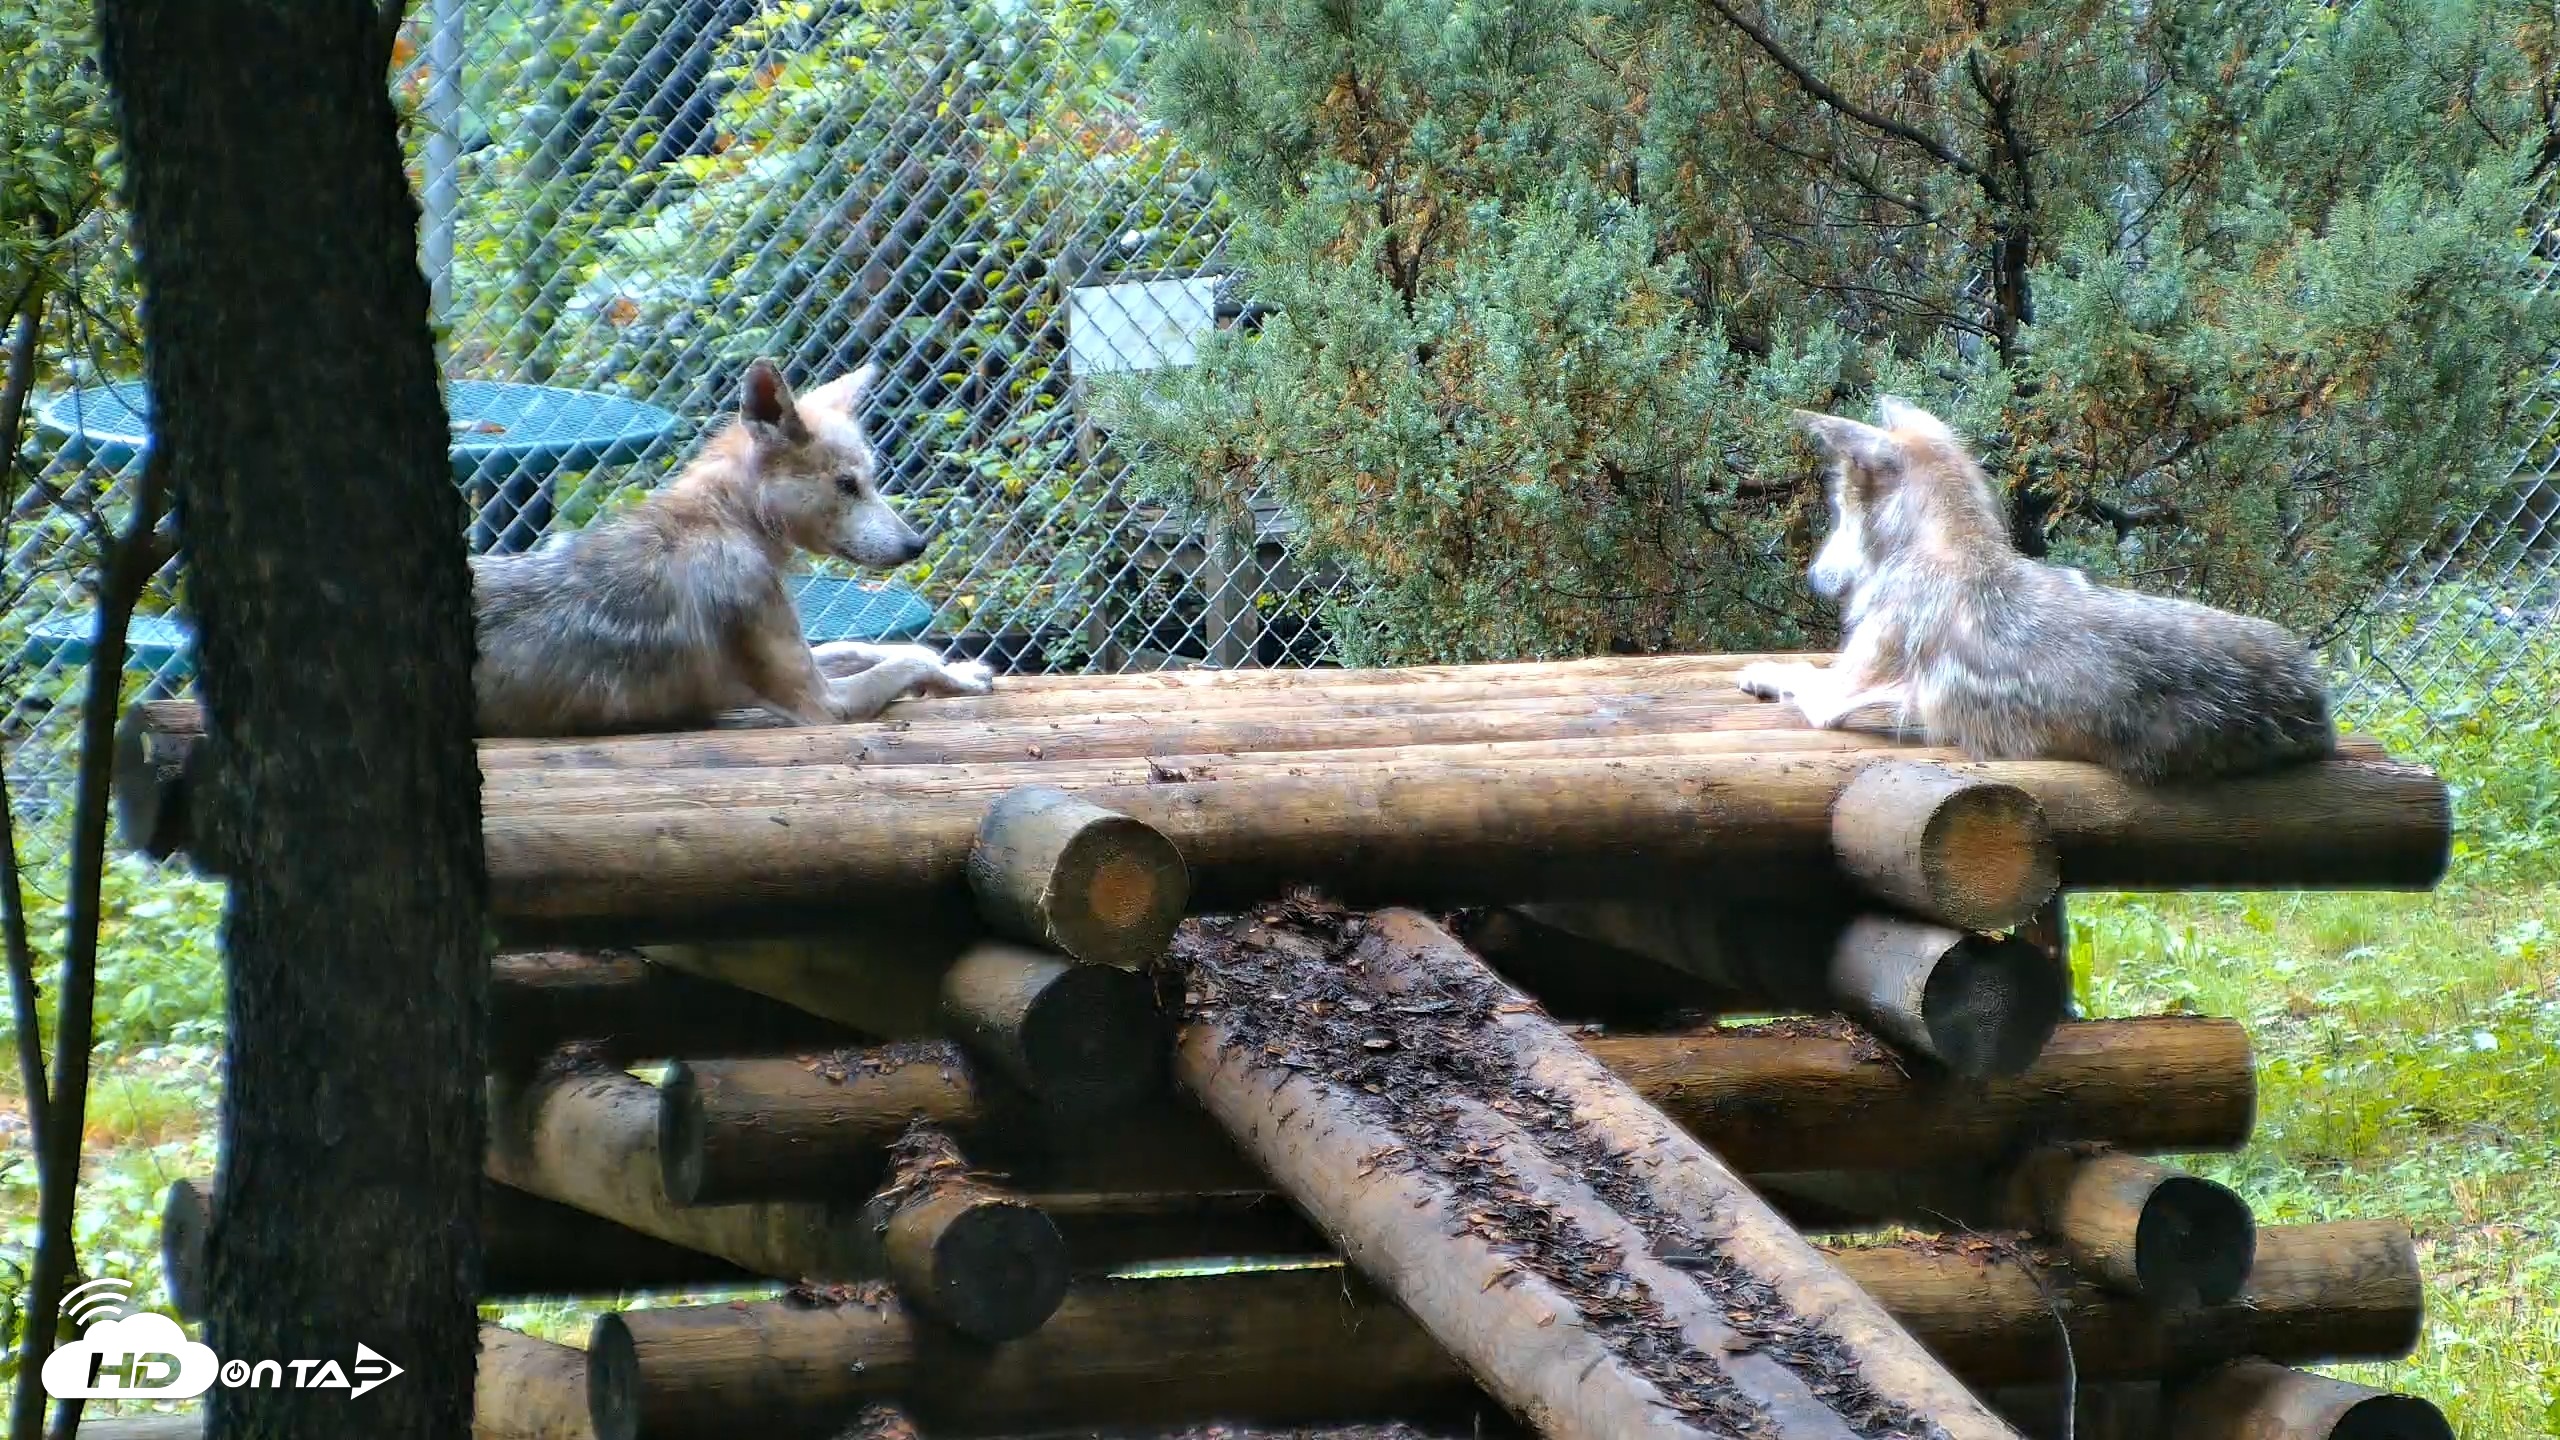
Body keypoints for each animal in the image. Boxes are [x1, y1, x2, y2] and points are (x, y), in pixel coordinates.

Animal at [471, 359, 993, 736]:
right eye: (848, 486)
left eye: (871, 481)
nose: (916, 544)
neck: (726, 522)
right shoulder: (822, 703)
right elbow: (906, 661)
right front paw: (961, 677)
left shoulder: (809, 657)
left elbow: (875, 647)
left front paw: (954, 663)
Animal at [1734, 397, 2337, 783]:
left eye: (1837, 512)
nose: (1814, 578)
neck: (1951, 548)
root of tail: (2315, 699)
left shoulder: (1833, 699)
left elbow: (1802, 673)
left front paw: (1759, 672)